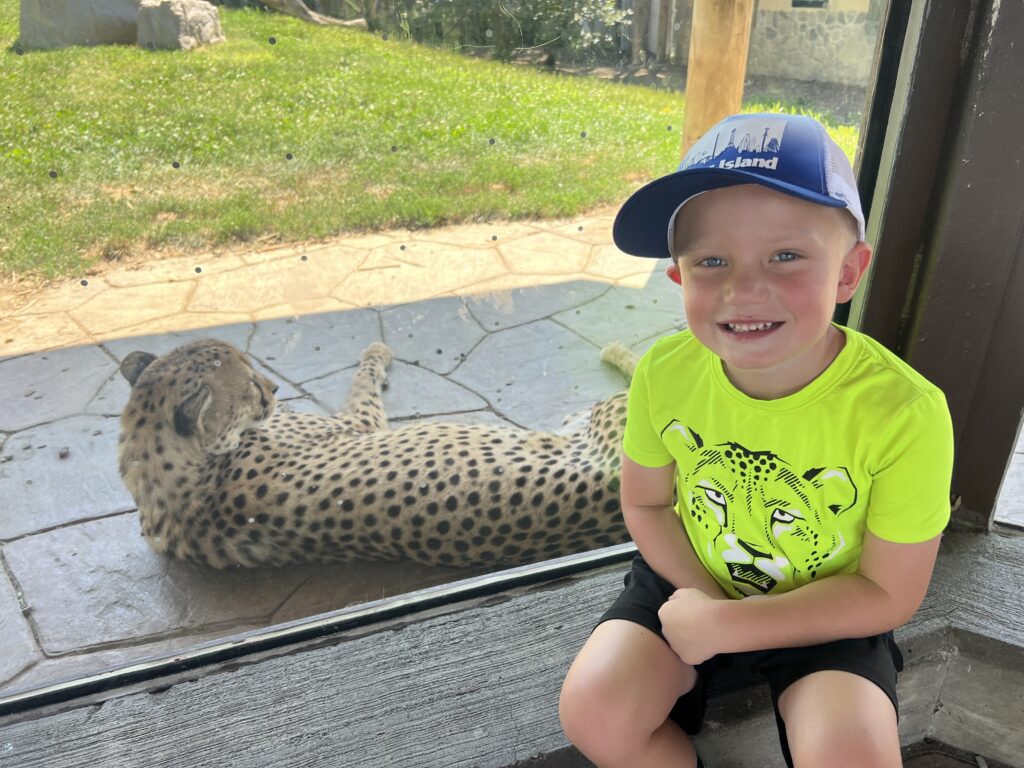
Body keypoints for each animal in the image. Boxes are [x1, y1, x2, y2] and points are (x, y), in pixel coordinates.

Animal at [116, 339, 634, 569]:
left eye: (250, 369)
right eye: (246, 382)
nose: (274, 388)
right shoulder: (359, 425)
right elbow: (363, 384)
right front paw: (376, 353)